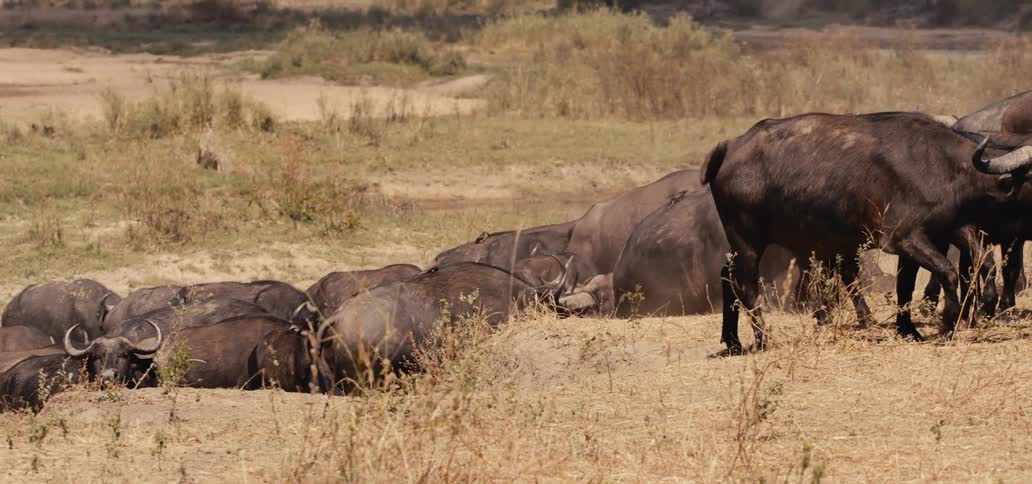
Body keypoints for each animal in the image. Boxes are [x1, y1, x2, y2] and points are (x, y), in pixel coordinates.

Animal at [703, 112, 1032, 354]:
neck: (946, 167)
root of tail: (731, 146)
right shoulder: (905, 238)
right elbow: (947, 273)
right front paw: (948, 321)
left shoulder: (947, 232)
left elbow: (915, 283)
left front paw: (911, 329)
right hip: (747, 239)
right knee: (744, 284)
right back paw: (762, 339)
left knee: (726, 274)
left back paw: (733, 341)